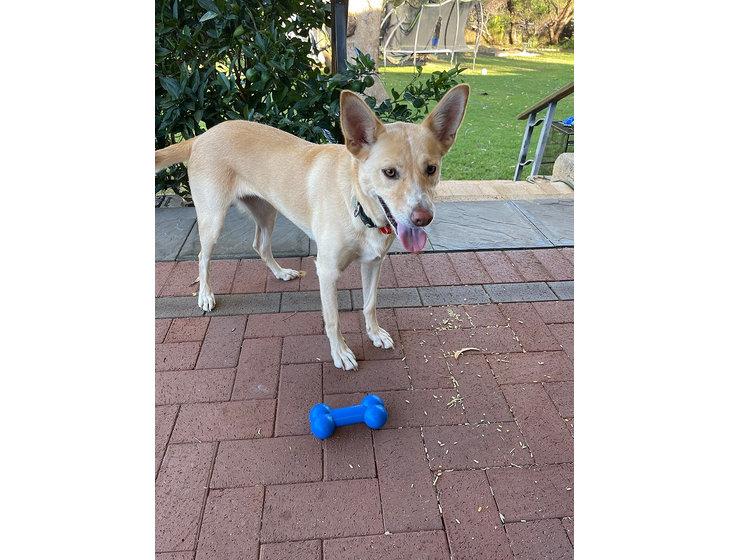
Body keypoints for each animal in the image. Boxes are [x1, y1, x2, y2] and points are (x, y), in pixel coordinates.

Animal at [156, 83, 470, 370]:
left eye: (431, 169)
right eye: (390, 172)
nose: (423, 218)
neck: (357, 206)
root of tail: (201, 136)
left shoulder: (373, 263)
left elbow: (370, 304)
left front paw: (374, 333)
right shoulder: (327, 271)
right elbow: (333, 319)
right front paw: (340, 353)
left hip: (267, 211)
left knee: (260, 245)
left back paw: (280, 273)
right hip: (213, 218)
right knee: (203, 257)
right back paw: (205, 296)